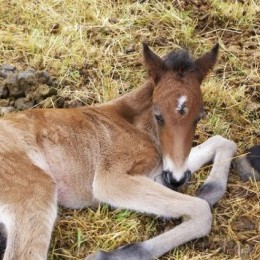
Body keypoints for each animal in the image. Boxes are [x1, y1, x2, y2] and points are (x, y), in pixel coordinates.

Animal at [0, 43, 237, 258]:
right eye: (158, 115)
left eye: (199, 116)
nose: (176, 180)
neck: (133, 122)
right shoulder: (110, 178)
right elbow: (201, 210)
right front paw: (117, 254)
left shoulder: (161, 168)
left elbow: (224, 141)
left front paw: (206, 190)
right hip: (35, 188)